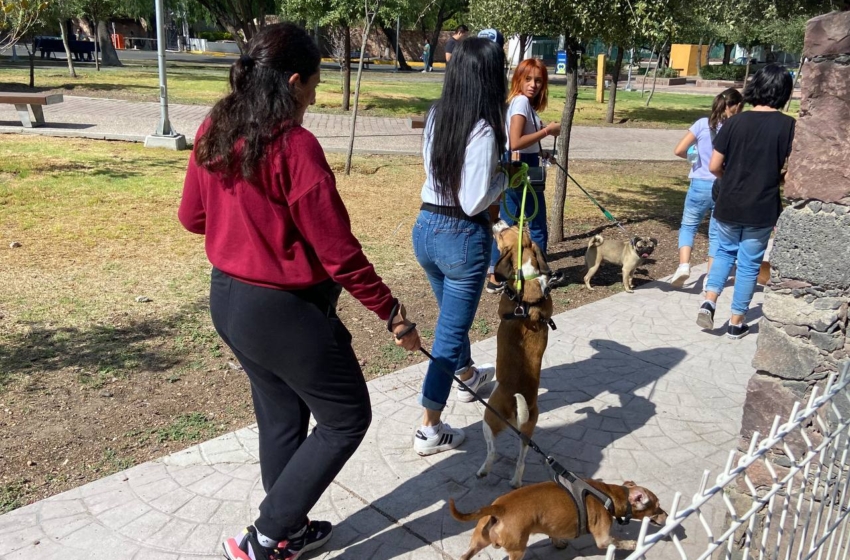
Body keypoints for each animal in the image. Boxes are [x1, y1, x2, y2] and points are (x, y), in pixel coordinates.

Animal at [448, 476, 664, 560]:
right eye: (657, 505)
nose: (666, 515)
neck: (609, 495)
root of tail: (499, 507)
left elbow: (554, 534)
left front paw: (558, 542)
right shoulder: (604, 539)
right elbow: (618, 541)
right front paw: (633, 544)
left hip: (479, 540)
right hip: (517, 550)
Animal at [480, 221, 552, 488]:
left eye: (503, 233)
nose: (497, 221)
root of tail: (516, 409)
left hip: (488, 418)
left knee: (492, 451)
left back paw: (483, 470)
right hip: (528, 433)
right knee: (521, 460)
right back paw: (515, 482)